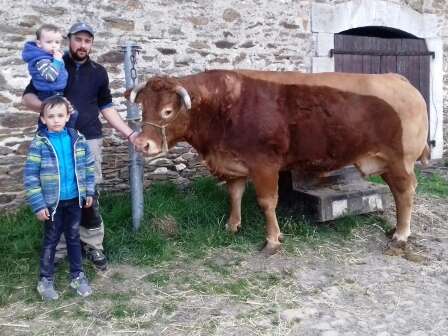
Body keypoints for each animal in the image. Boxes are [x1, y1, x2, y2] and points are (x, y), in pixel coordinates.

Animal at [124, 71, 428, 255]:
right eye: (143, 108)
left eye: (167, 111)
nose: (143, 144)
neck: (225, 106)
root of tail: (399, 79)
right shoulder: (233, 163)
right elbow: (234, 194)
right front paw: (232, 226)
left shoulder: (264, 165)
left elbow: (267, 202)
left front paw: (272, 240)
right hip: (388, 163)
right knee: (399, 193)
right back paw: (396, 229)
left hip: (401, 161)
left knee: (406, 192)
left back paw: (401, 235)